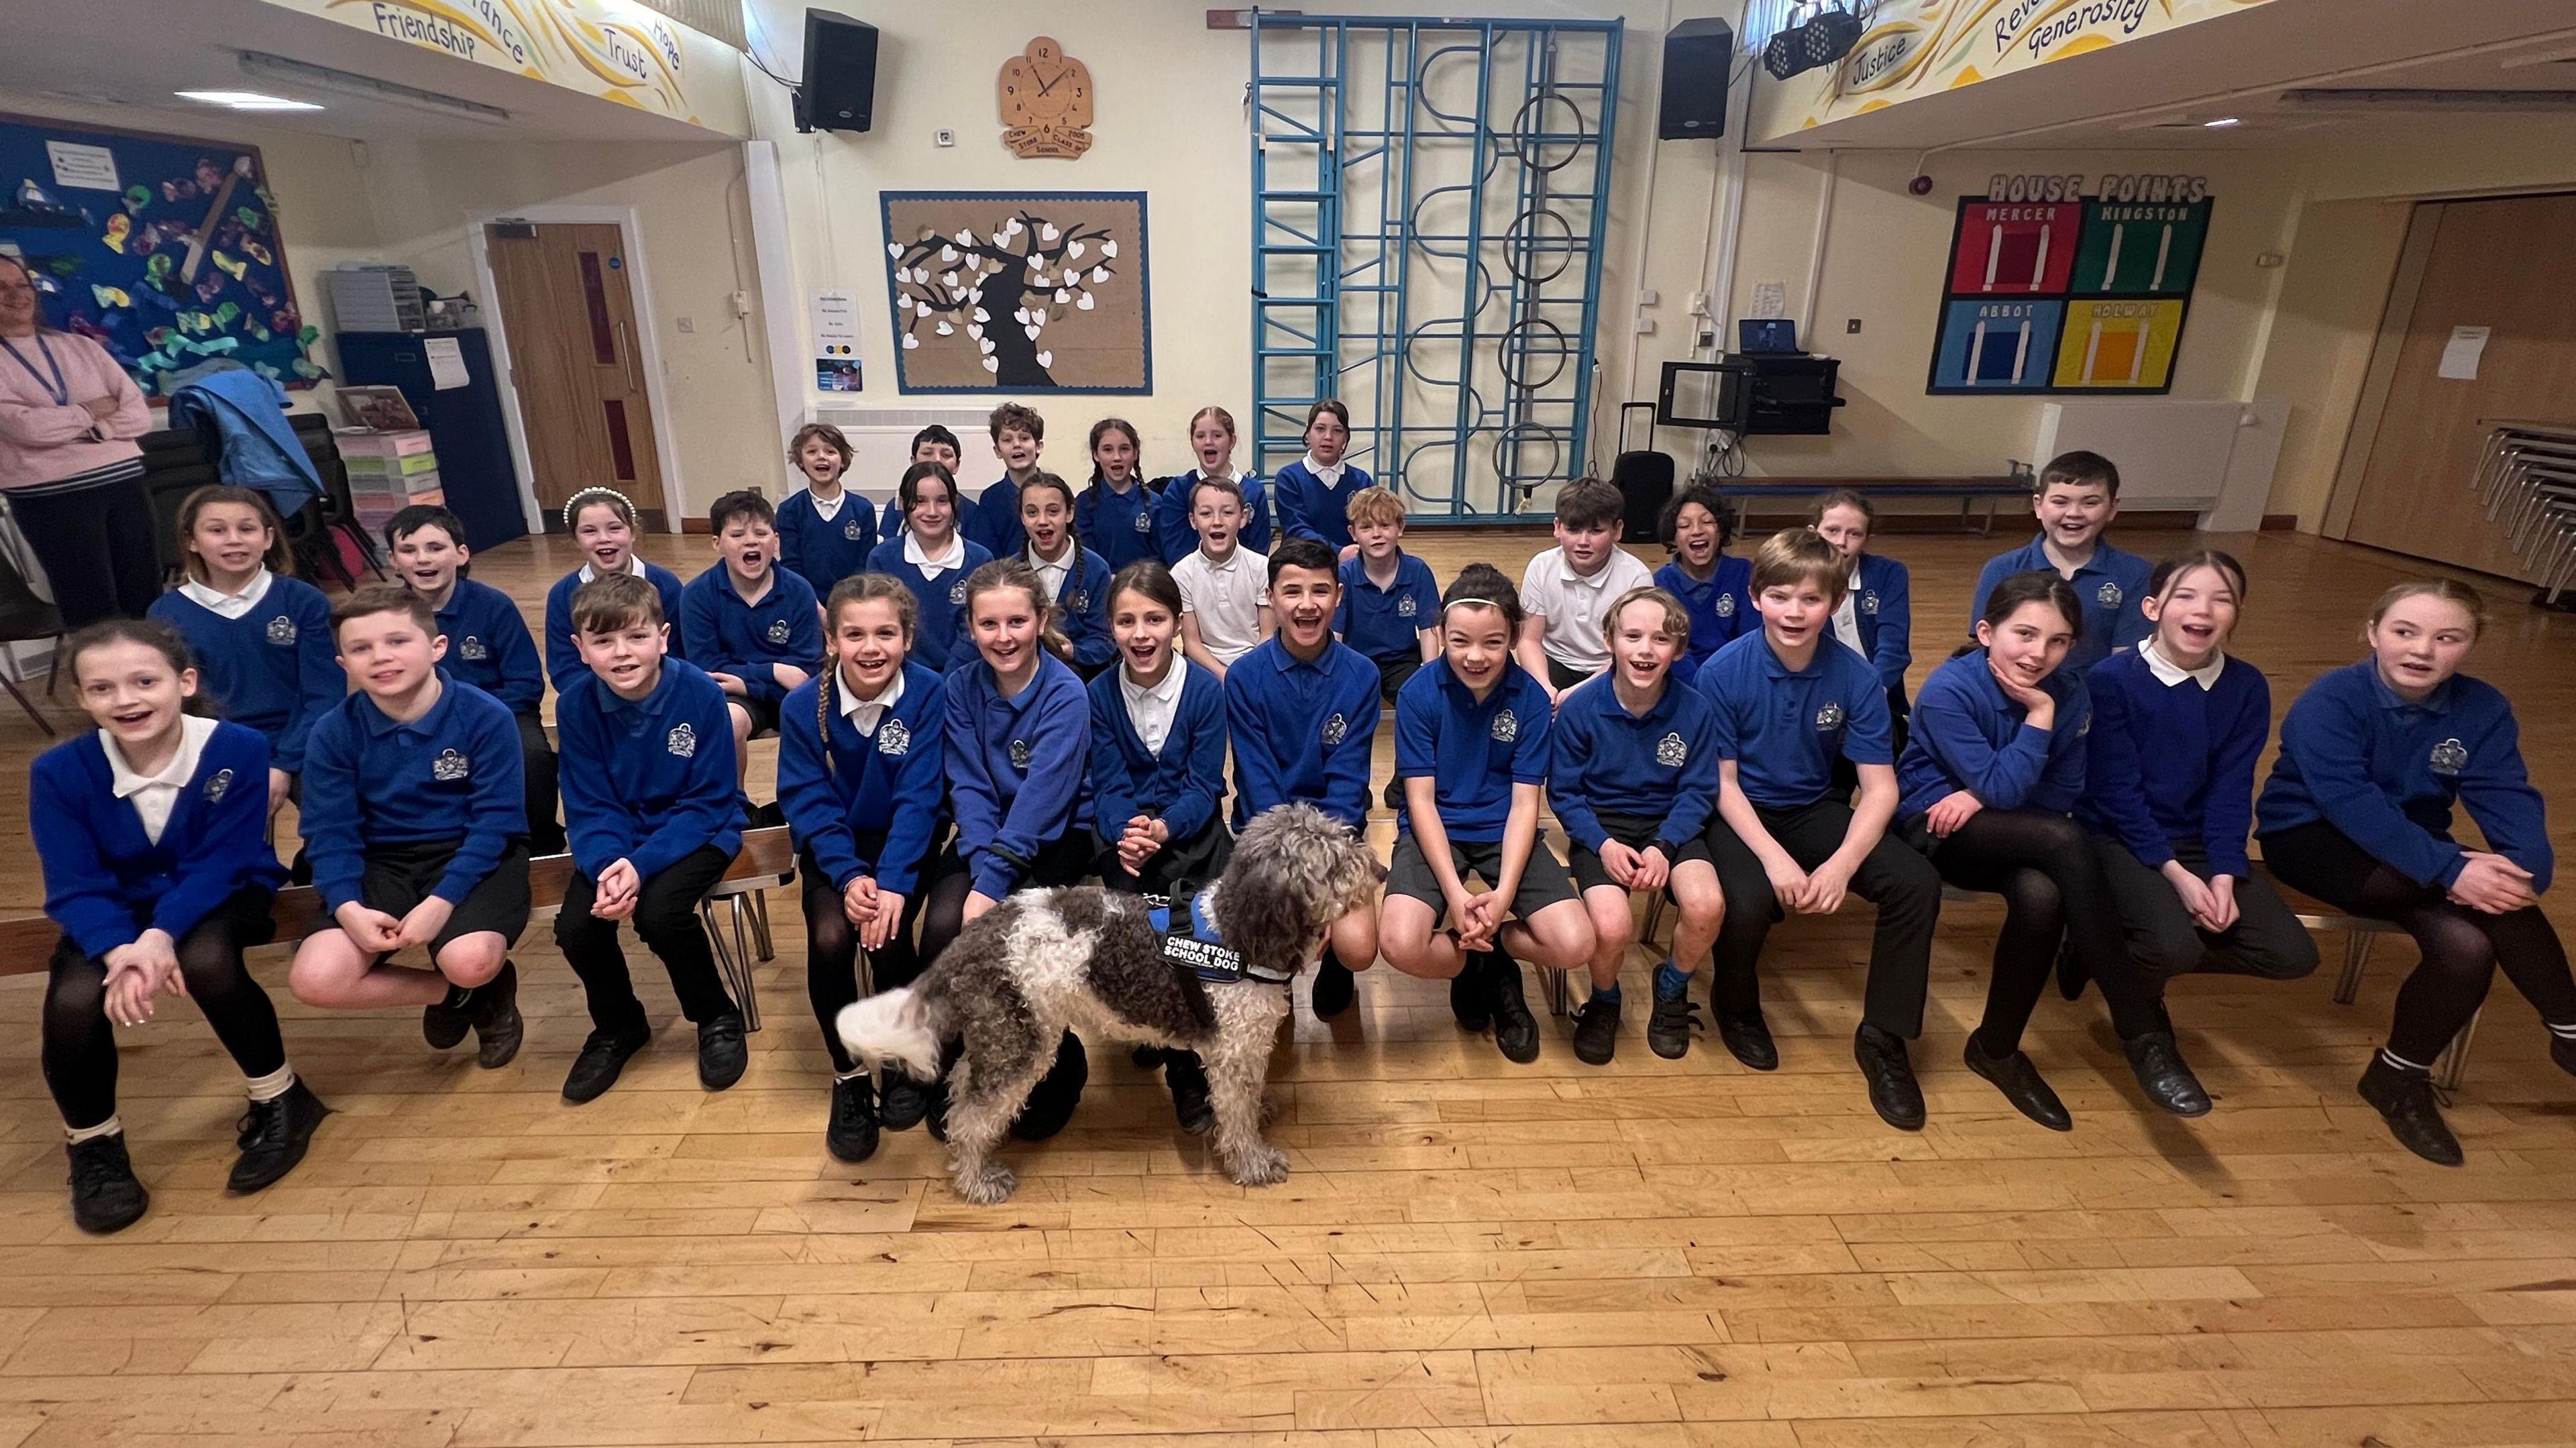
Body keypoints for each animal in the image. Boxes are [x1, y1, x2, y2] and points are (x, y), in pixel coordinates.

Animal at [839, 803, 1391, 1201]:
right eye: (1332, 861)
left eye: (1345, 836)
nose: (1381, 869)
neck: (1236, 933)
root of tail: (972, 938)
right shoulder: (1232, 1053)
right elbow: (1235, 1119)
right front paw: (1254, 1163)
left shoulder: (1246, 1048)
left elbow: (1250, 1097)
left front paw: (1262, 1112)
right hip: (1023, 1043)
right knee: (971, 1117)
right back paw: (979, 1181)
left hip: (1002, 1033)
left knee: (961, 1089)